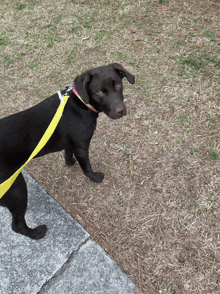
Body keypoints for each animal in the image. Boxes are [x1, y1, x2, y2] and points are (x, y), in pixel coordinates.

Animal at [0, 63, 135, 240]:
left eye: (118, 85)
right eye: (99, 92)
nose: (121, 111)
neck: (81, 103)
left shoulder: (71, 143)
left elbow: (67, 153)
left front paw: (70, 163)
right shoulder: (82, 147)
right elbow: (86, 167)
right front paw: (95, 177)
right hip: (16, 189)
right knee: (17, 225)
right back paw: (37, 233)